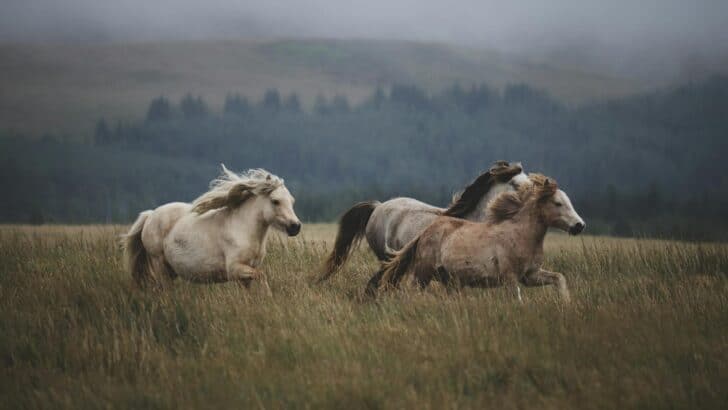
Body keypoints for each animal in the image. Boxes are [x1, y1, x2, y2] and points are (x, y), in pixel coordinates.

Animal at [122, 166, 301, 293]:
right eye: (275, 201)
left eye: (292, 201)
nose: (295, 227)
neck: (243, 230)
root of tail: (150, 215)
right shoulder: (235, 269)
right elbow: (262, 276)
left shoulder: (245, 275)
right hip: (159, 264)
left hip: (170, 270)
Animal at [369, 174, 584, 302]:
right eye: (557, 203)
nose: (579, 225)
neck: (520, 234)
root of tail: (426, 232)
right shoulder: (510, 277)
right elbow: (517, 299)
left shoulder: (530, 276)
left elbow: (559, 278)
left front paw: (566, 304)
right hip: (423, 273)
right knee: (411, 290)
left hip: (450, 280)